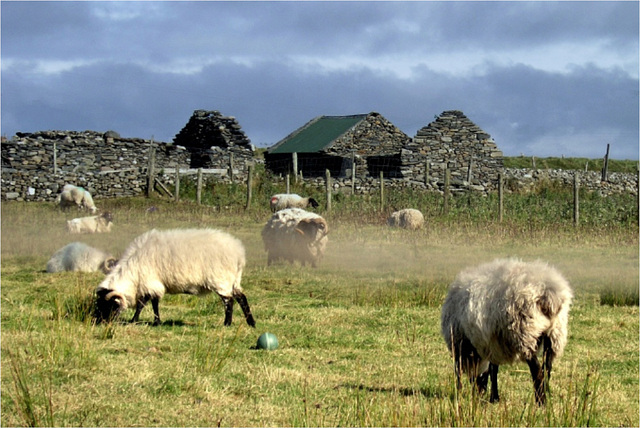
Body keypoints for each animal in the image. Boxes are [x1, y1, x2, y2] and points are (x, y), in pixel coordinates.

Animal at [95, 229, 255, 326]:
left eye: (109, 305)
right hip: (233, 279)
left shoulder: (150, 282)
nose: (99, 322)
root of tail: (239, 252)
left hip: (221, 279)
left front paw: (135, 320)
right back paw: (251, 323)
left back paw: (227, 323)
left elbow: (144, 304)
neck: (132, 273)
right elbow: (154, 303)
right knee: (241, 297)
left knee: (229, 301)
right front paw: (156, 322)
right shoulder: (153, 285)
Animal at [440, 258, 576, 404]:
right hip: (555, 335)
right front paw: (494, 397)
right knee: (547, 370)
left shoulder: (460, 342)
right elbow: (493, 369)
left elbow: (459, 372)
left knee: (537, 371)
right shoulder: (492, 343)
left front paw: (458, 394)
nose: (479, 394)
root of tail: (550, 292)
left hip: (525, 332)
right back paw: (545, 397)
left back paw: (540, 402)